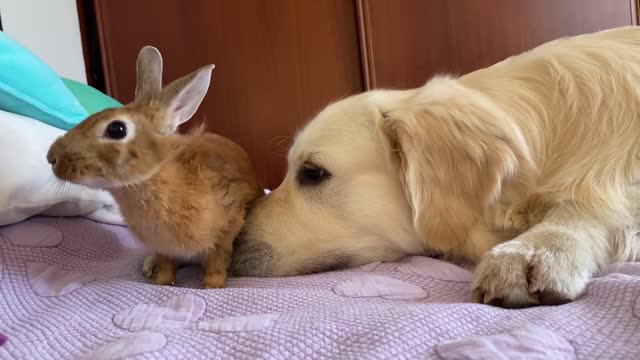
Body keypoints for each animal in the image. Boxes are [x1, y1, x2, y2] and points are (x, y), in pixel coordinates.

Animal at [46, 46, 262, 288]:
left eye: (116, 129)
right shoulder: (162, 247)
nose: (52, 157)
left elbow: (216, 264)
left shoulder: (225, 230)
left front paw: (211, 287)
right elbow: (166, 265)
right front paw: (162, 283)